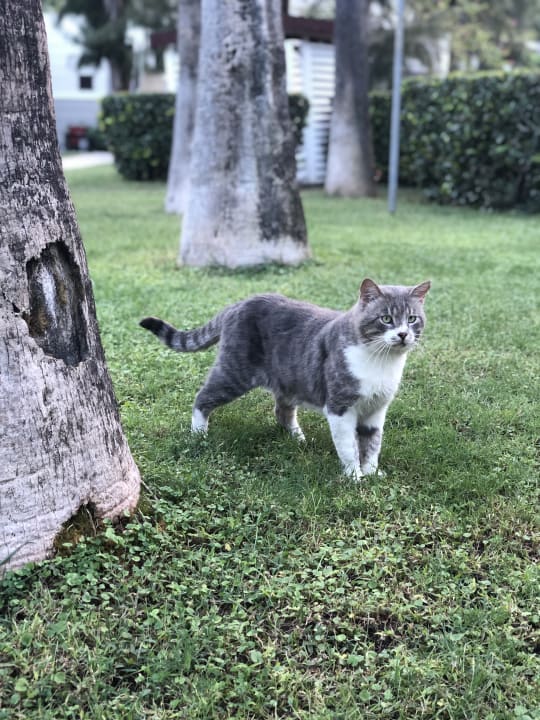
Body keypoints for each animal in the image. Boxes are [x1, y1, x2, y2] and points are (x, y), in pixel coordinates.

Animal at [140, 278, 430, 481]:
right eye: (386, 319)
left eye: (412, 319)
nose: (403, 335)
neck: (381, 363)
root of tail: (239, 303)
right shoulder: (340, 406)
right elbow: (349, 446)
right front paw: (355, 477)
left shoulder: (377, 409)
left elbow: (372, 443)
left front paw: (371, 473)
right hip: (234, 371)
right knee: (202, 397)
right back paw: (199, 434)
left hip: (289, 380)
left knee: (282, 411)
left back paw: (297, 438)